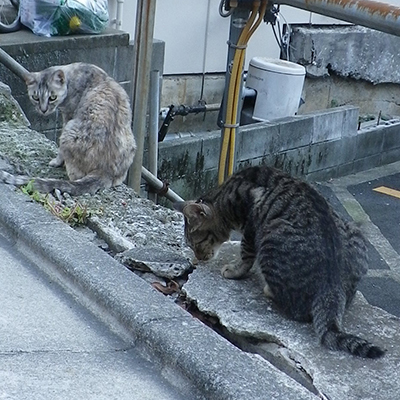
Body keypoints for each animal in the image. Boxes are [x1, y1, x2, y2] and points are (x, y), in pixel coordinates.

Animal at [0, 61, 136, 196]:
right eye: (35, 98)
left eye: (52, 97)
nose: (43, 110)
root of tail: (105, 171)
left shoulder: (67, 116)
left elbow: (60, 151)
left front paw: (56, 161)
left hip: (69, 132)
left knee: (74, 176)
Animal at [174, 166, 384, 360]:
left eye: (195, 244)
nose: (199, 258)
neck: (224, 197)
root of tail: (332, 287)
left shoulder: (251, 223)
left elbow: (246, 254)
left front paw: (235, 270)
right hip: (353, 231)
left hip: (271, 237)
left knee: (298, 310)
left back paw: (270, 289)